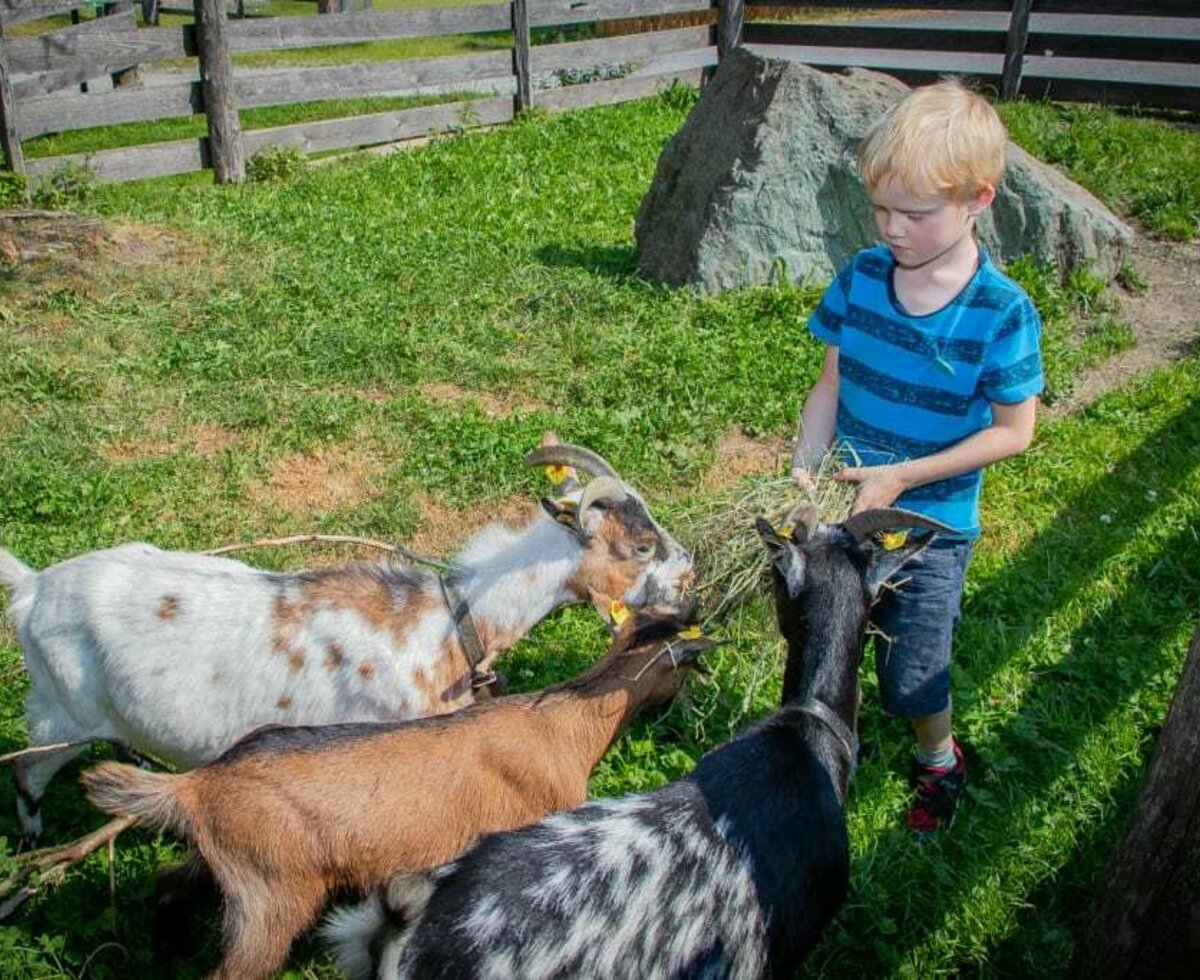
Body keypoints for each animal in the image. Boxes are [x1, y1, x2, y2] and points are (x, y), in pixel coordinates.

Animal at [0, 439, 696, 839]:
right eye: (641, 546)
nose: (690, 577)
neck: (447, 625)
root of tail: (34, 587)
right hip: (62, 713)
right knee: (28, 771)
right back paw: (32, 840)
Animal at [87, 606, 720, 978]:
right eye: (684, 667)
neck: (563, 724)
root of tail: (197, 784)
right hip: (271, 896)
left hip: (224, 864)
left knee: (170, 884)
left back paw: (165, 950)